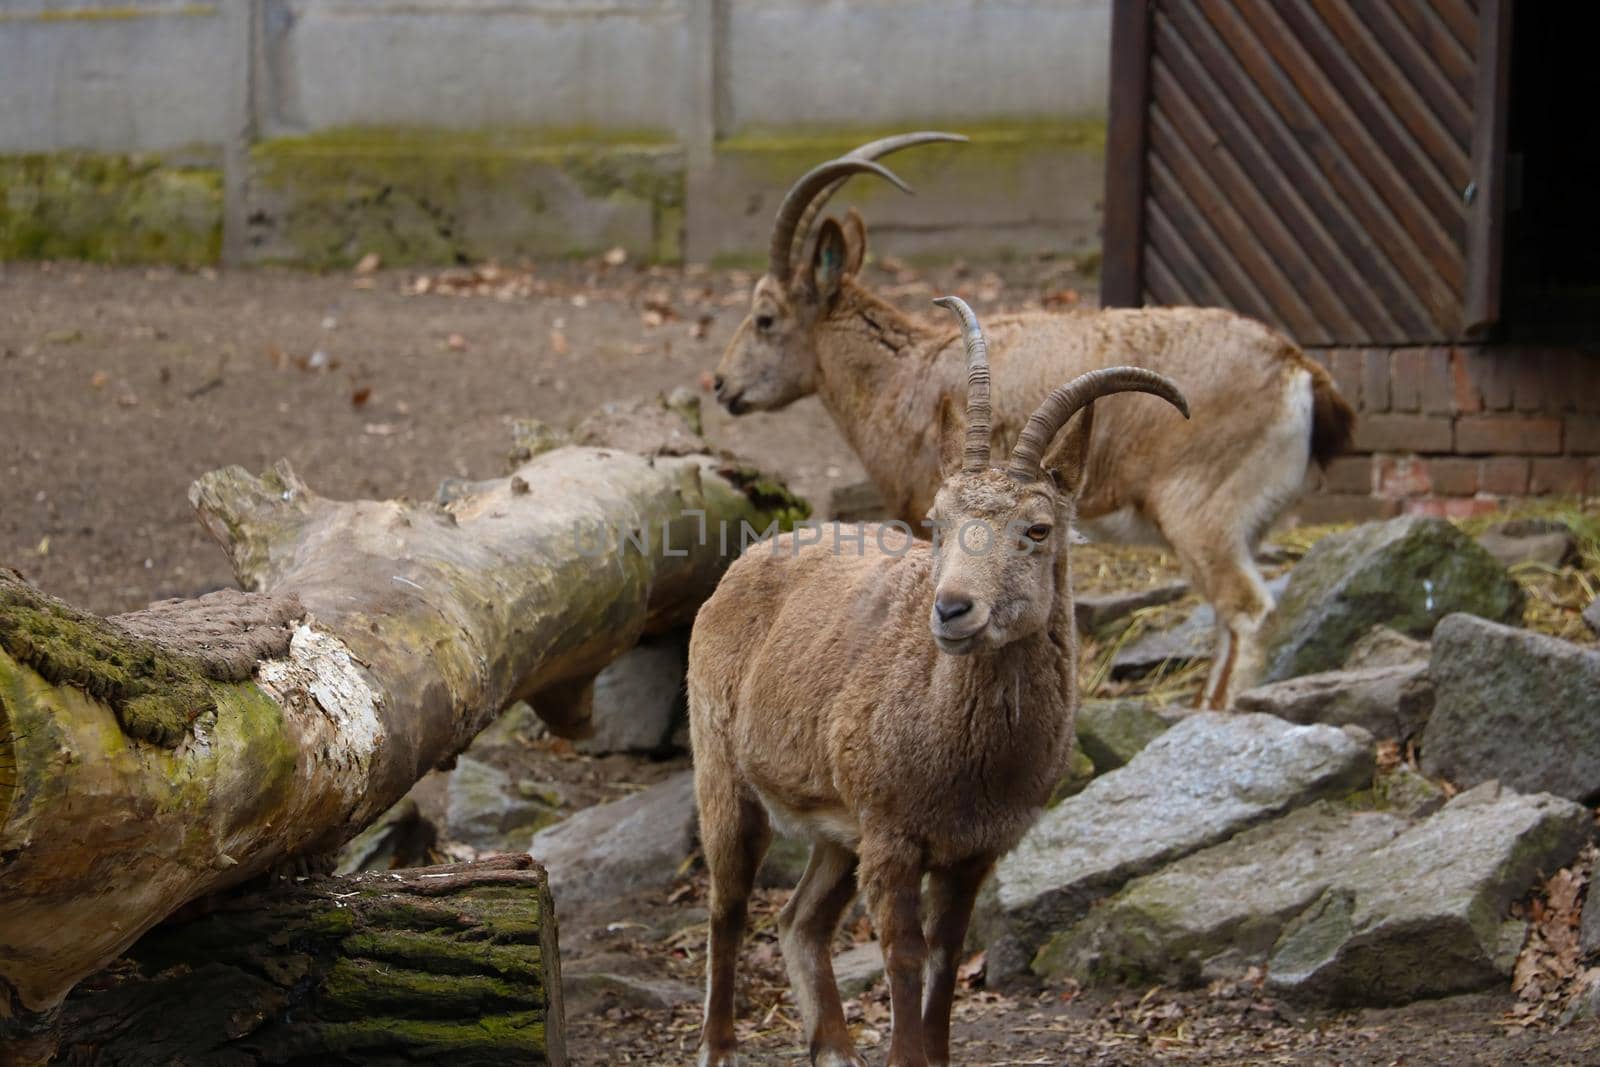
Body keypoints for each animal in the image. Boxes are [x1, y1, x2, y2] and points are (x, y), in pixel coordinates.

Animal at [688, 295, 1190, 1067]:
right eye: (937, 520)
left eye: (1038, 528)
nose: (952, 608)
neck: (964, 758)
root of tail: (749, 560)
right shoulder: (895, 838)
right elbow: (904, 953)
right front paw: (905, 1054)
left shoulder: (972, 851)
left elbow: (948, 956)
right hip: (724, 772)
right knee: (729, 903)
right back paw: (719, 1046)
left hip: (839, 828)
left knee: (801, 919)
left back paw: (835, 1047)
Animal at [720, 131, 1356, 710]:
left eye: (766, 318)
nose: (723, 387)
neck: (905, 373)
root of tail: (1299, 370)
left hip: (1202, 516)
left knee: (1248, 612)